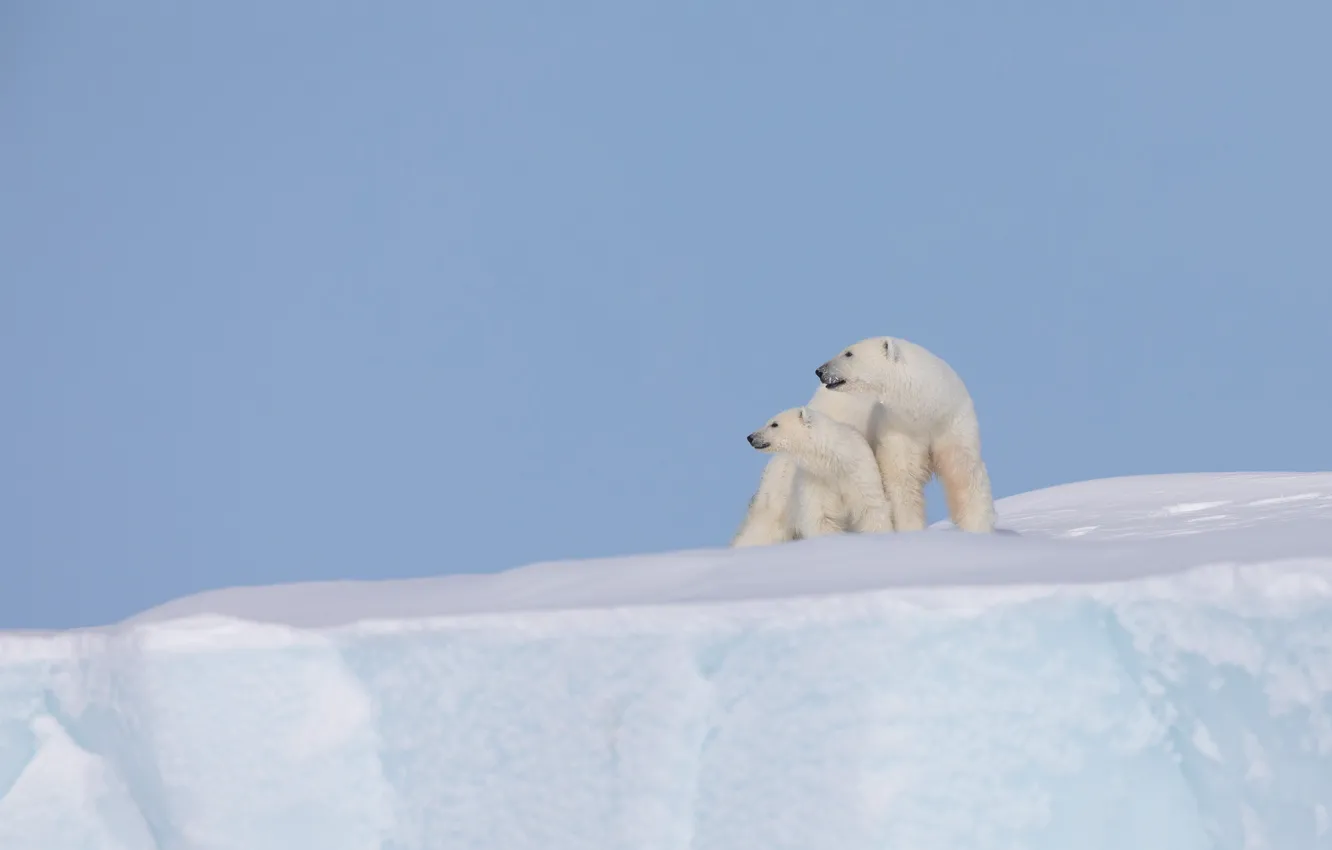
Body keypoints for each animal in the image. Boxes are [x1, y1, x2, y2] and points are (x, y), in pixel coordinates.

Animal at [734, 406, 895, 544]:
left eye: (774, 424)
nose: (751, 437)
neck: (833, 462)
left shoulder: (858, 473)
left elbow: (871, 509)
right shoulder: (816, 482)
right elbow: (822, 518)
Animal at [814, 336, 996, 533]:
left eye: (848, 353)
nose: (820, 371)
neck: (926, 410)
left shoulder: (952, 422)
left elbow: (964, 472)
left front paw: (978, 527)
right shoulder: (900, 428)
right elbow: (903, 479)